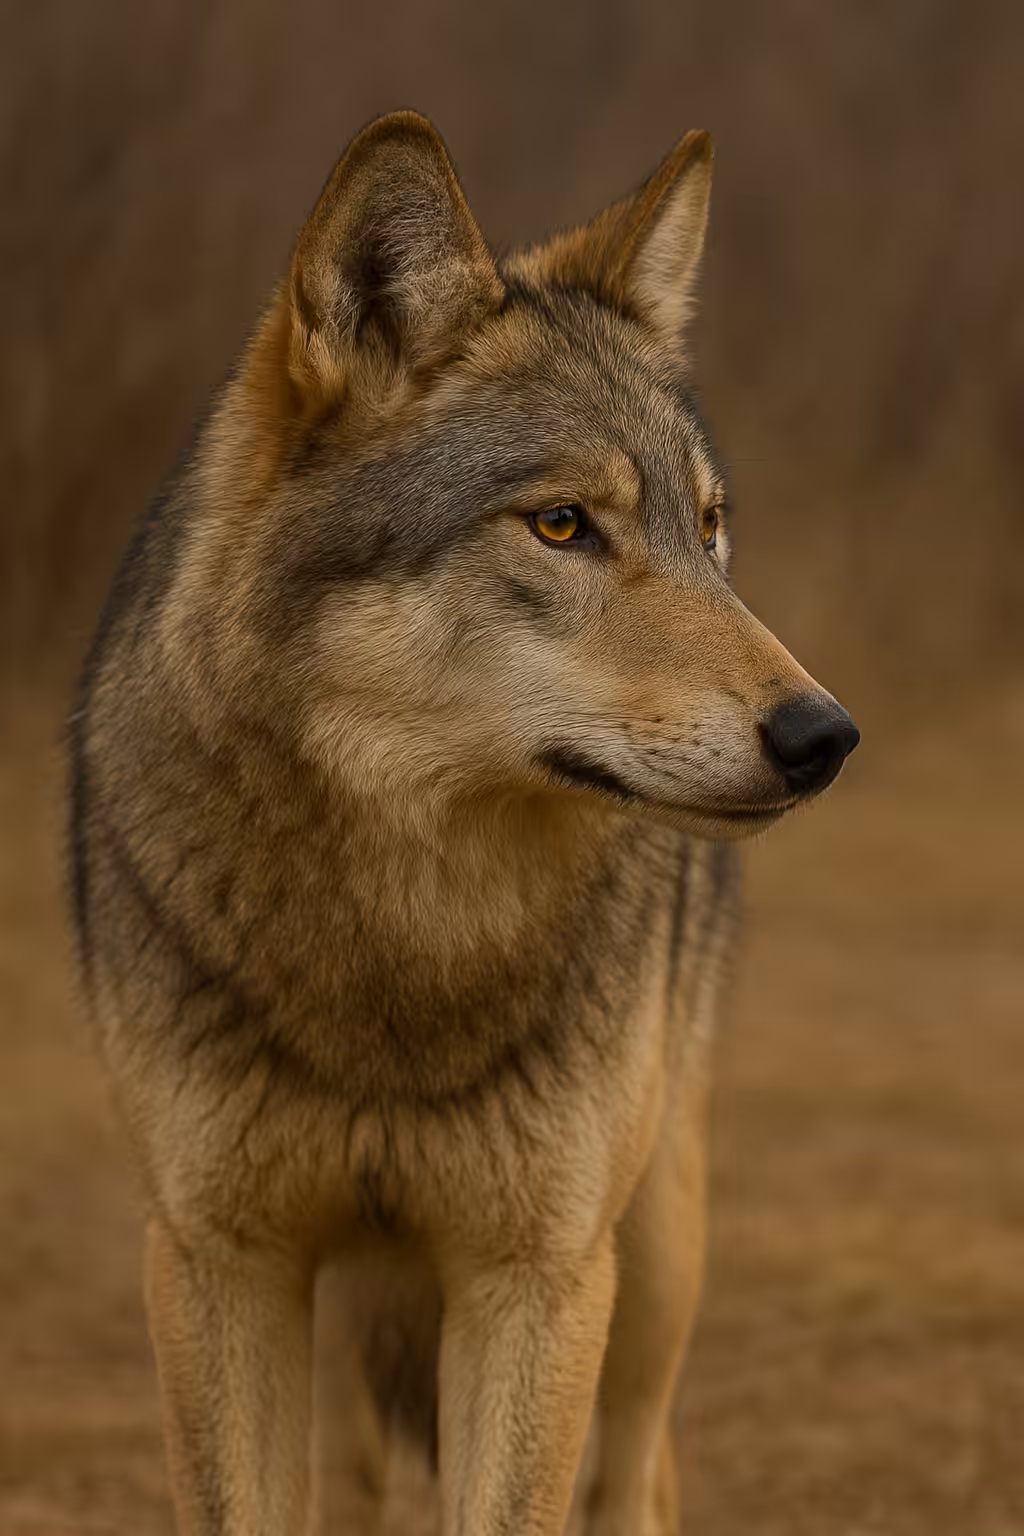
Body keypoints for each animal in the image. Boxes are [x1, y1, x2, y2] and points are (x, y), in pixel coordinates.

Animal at [68, 111, 859, 1536]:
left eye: (709, 530)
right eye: (561, 524)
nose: (823, 736)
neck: (406, 941)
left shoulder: (536, 1275)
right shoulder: (217, 1261)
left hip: (653, 1253)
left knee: (633, 1475)